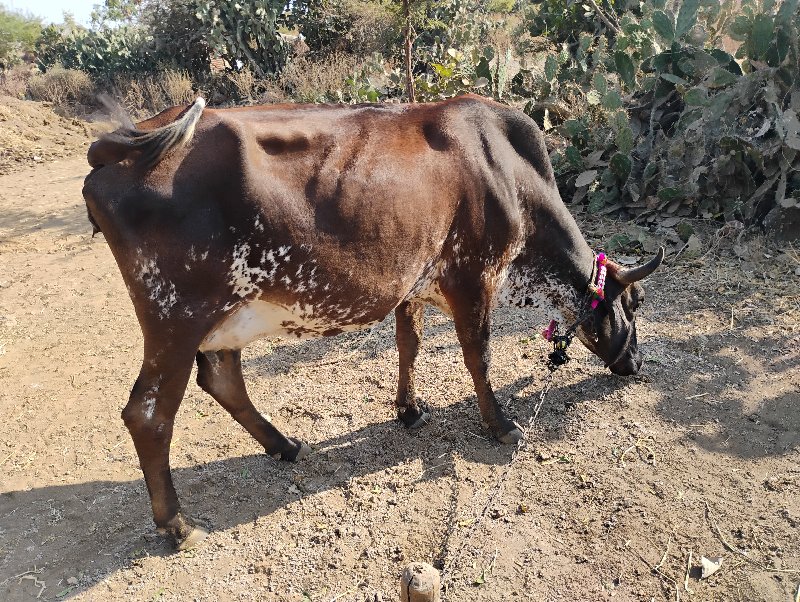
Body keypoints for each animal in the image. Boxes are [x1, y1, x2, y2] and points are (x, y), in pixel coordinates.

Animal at [83, 95, 664, 548]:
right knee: (148, 414)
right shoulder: (473, 280)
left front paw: (409, 409)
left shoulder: (414, 284)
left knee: (223, 379)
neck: (509, 173)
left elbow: (409, 344)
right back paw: (177, 524)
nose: (634, 363)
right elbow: (477, 356)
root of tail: (119, 146)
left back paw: (284, 445)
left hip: (220, 318)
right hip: (175, 318)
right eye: (634, 303)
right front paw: (501, 425)